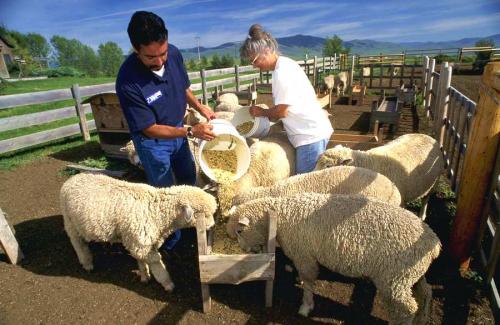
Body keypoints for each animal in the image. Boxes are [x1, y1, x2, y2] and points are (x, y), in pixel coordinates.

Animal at [59, 172, 216, 292]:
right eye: (203, 214)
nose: (212, 226)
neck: (157, 211)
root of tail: (70, 180)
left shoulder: (139, 242)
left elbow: (141, 260)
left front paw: (145, 276)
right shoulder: (141, 244)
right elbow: (157, 264)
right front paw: (168, 284)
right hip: (70, 222)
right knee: (78, 244)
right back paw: (87, 263)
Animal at [227, 192, 442, 322]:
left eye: (240, 231)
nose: (243, 249)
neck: (283, 214)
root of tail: (433, 243)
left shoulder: (304, 254)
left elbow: (308, 280)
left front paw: (306, 307)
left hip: (394, 279)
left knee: (407, 308)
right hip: (410, 274)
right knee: (426, 293)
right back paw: (422, 318)